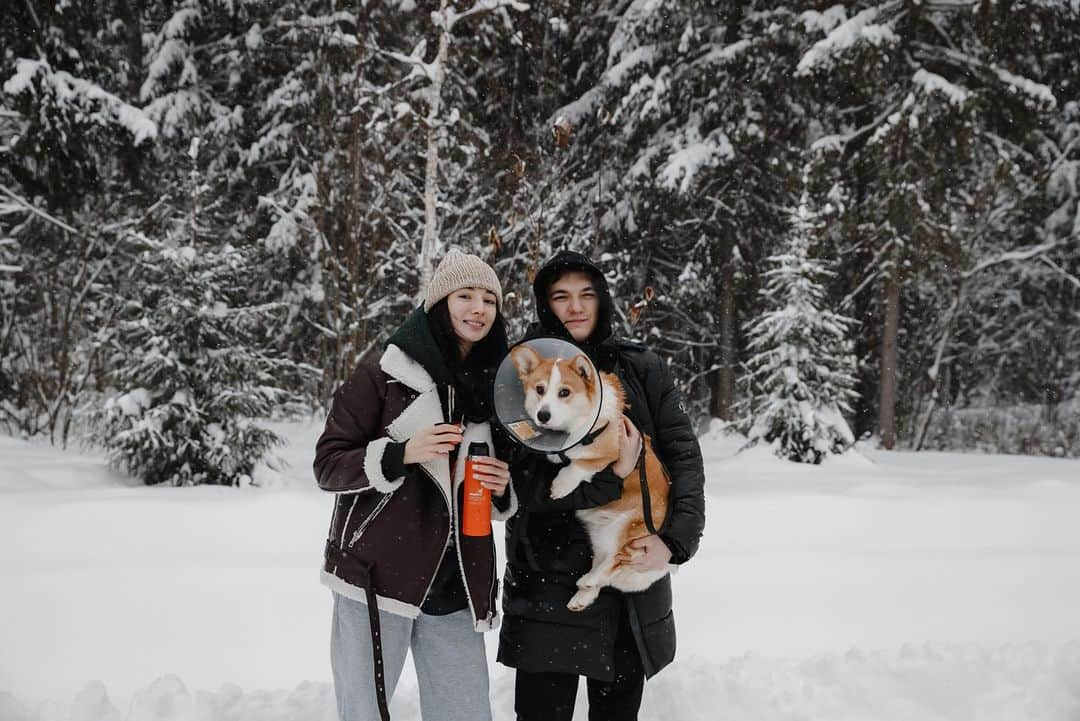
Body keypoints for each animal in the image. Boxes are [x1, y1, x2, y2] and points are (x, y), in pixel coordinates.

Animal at [509, 345, 669, 613]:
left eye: (564, 392)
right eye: (539, 389)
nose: (543, 415)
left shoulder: (609, 453)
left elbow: (580, 465)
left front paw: (560, 486)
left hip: (627, 527)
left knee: (618, 559)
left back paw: (589, 580)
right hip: (599, 535)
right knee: (608, 563)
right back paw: (583, 594)